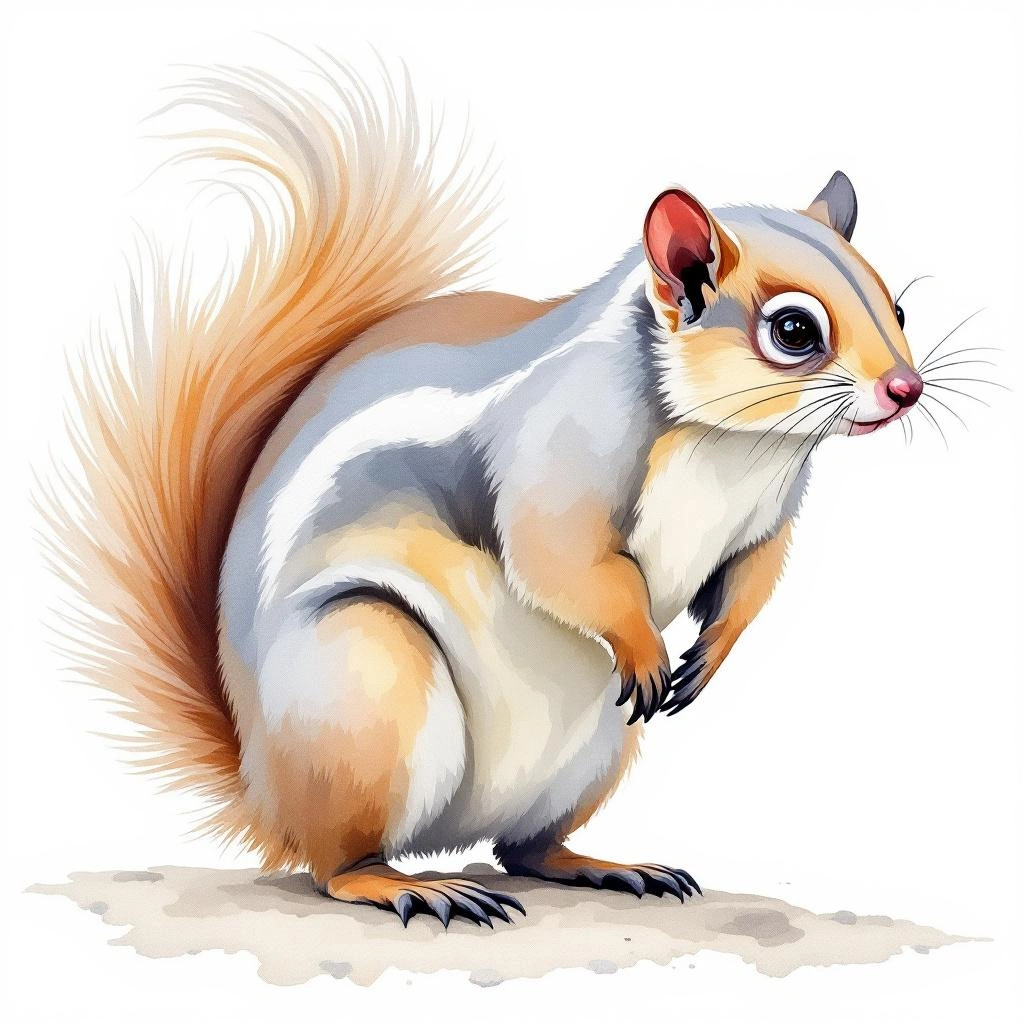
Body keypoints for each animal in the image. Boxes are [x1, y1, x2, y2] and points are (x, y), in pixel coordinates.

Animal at [44, 64, 924, 928]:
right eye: (793, 332)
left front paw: (709, 656)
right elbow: (561, 558)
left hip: (596, 753)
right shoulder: (559, 451)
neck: (741, 447)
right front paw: (644, 645)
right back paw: (407, 885)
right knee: (338, 864)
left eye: (899, 307)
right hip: (367, 683)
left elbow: (747, 580)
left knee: (524, 848)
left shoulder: (764, 520)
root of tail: (265, 791)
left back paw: (603, 867)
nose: (906, 389)